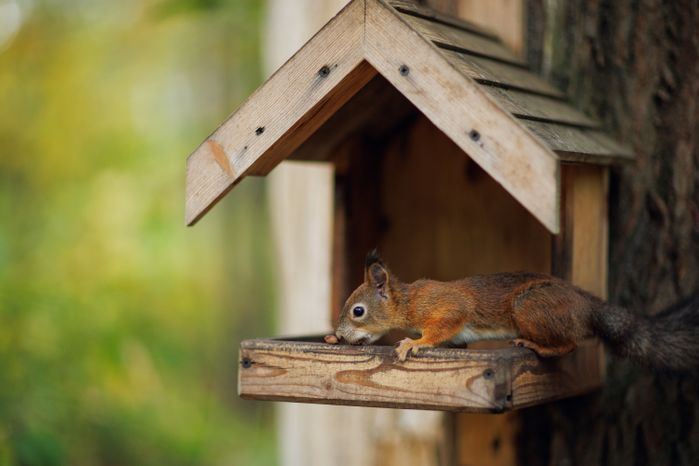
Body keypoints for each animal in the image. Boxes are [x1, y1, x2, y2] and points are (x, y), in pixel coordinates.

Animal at [329, 250, 699, 371]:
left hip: (531, 307)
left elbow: (443, 326)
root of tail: (587, 306)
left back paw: (536, 346)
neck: (408, 302)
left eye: (358, 311)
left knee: (569, 344)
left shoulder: (445, 306)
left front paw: (413, 343)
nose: (339, 335)